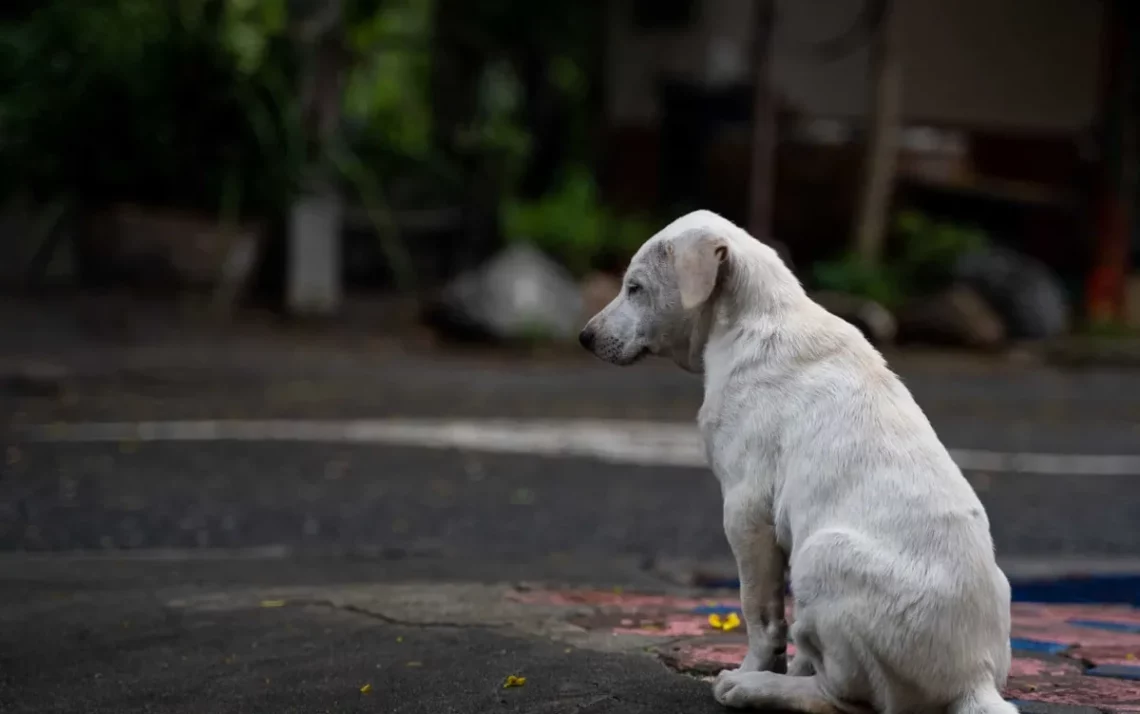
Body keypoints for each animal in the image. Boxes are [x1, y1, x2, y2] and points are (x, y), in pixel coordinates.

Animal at [579, 209, 1016, 711]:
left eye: (635, 288)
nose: (584, 337)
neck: (755, 319)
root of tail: (975, 681)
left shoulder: (745, 508)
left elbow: (759, 612)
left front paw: (753, 668)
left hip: (821, 554)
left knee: (841, 696)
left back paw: (755, 687)